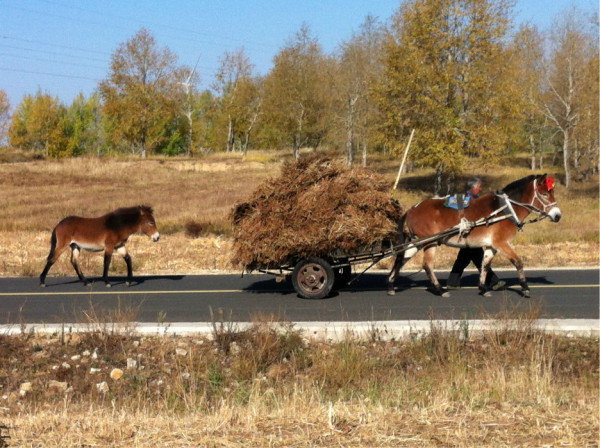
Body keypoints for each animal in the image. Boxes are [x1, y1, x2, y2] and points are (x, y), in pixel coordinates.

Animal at [390, 175, 564, 298]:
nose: (557, 215)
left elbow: (485, 265)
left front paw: (483, 288)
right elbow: (518, 262)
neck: (504, 209)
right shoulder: (501, 243)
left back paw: (391, 285)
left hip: (416, 243)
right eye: (544, 194)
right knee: (427, 266)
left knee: (400, 260)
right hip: (429, 243)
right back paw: (440, 290)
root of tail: (412, 209)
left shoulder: (492, 245)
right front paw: (525, 288)